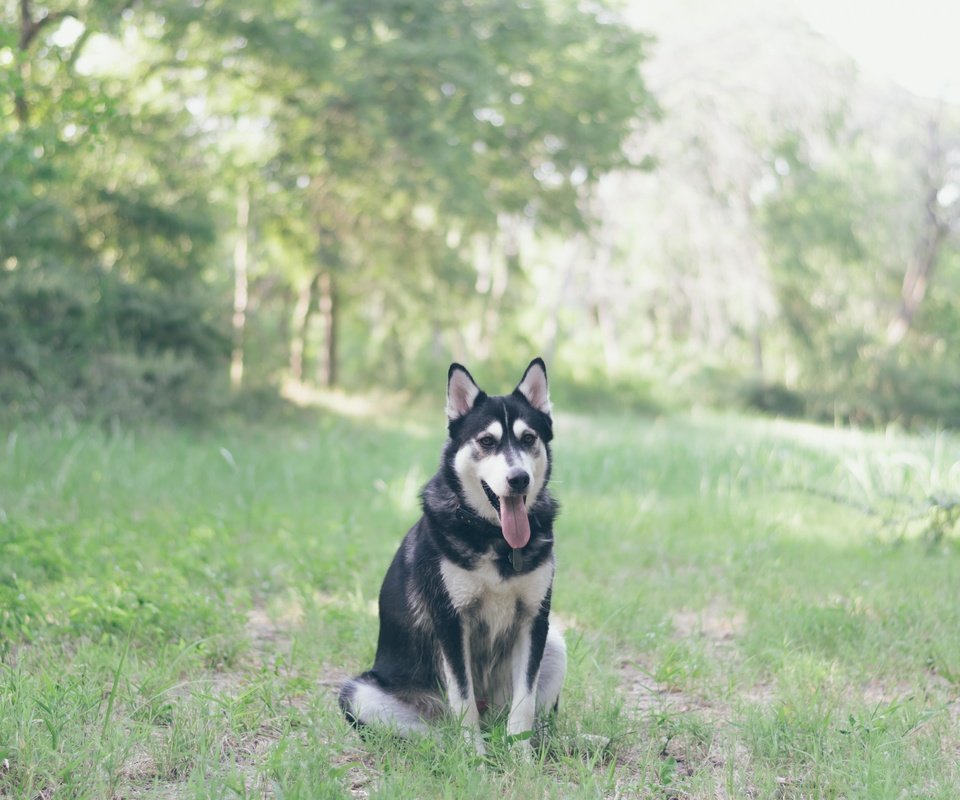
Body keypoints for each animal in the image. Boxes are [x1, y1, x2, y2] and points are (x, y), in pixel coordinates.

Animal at [340, 360, 568, 752]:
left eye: (528, 438)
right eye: (487, 441)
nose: (519, 478)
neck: (496, 538)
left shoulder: (534, 620)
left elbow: (524, 704)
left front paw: (521, 756)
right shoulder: (450, 621)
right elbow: (463, 699)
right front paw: (474, 757)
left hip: (555, 644)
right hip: (359, 694)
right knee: (441, 729)